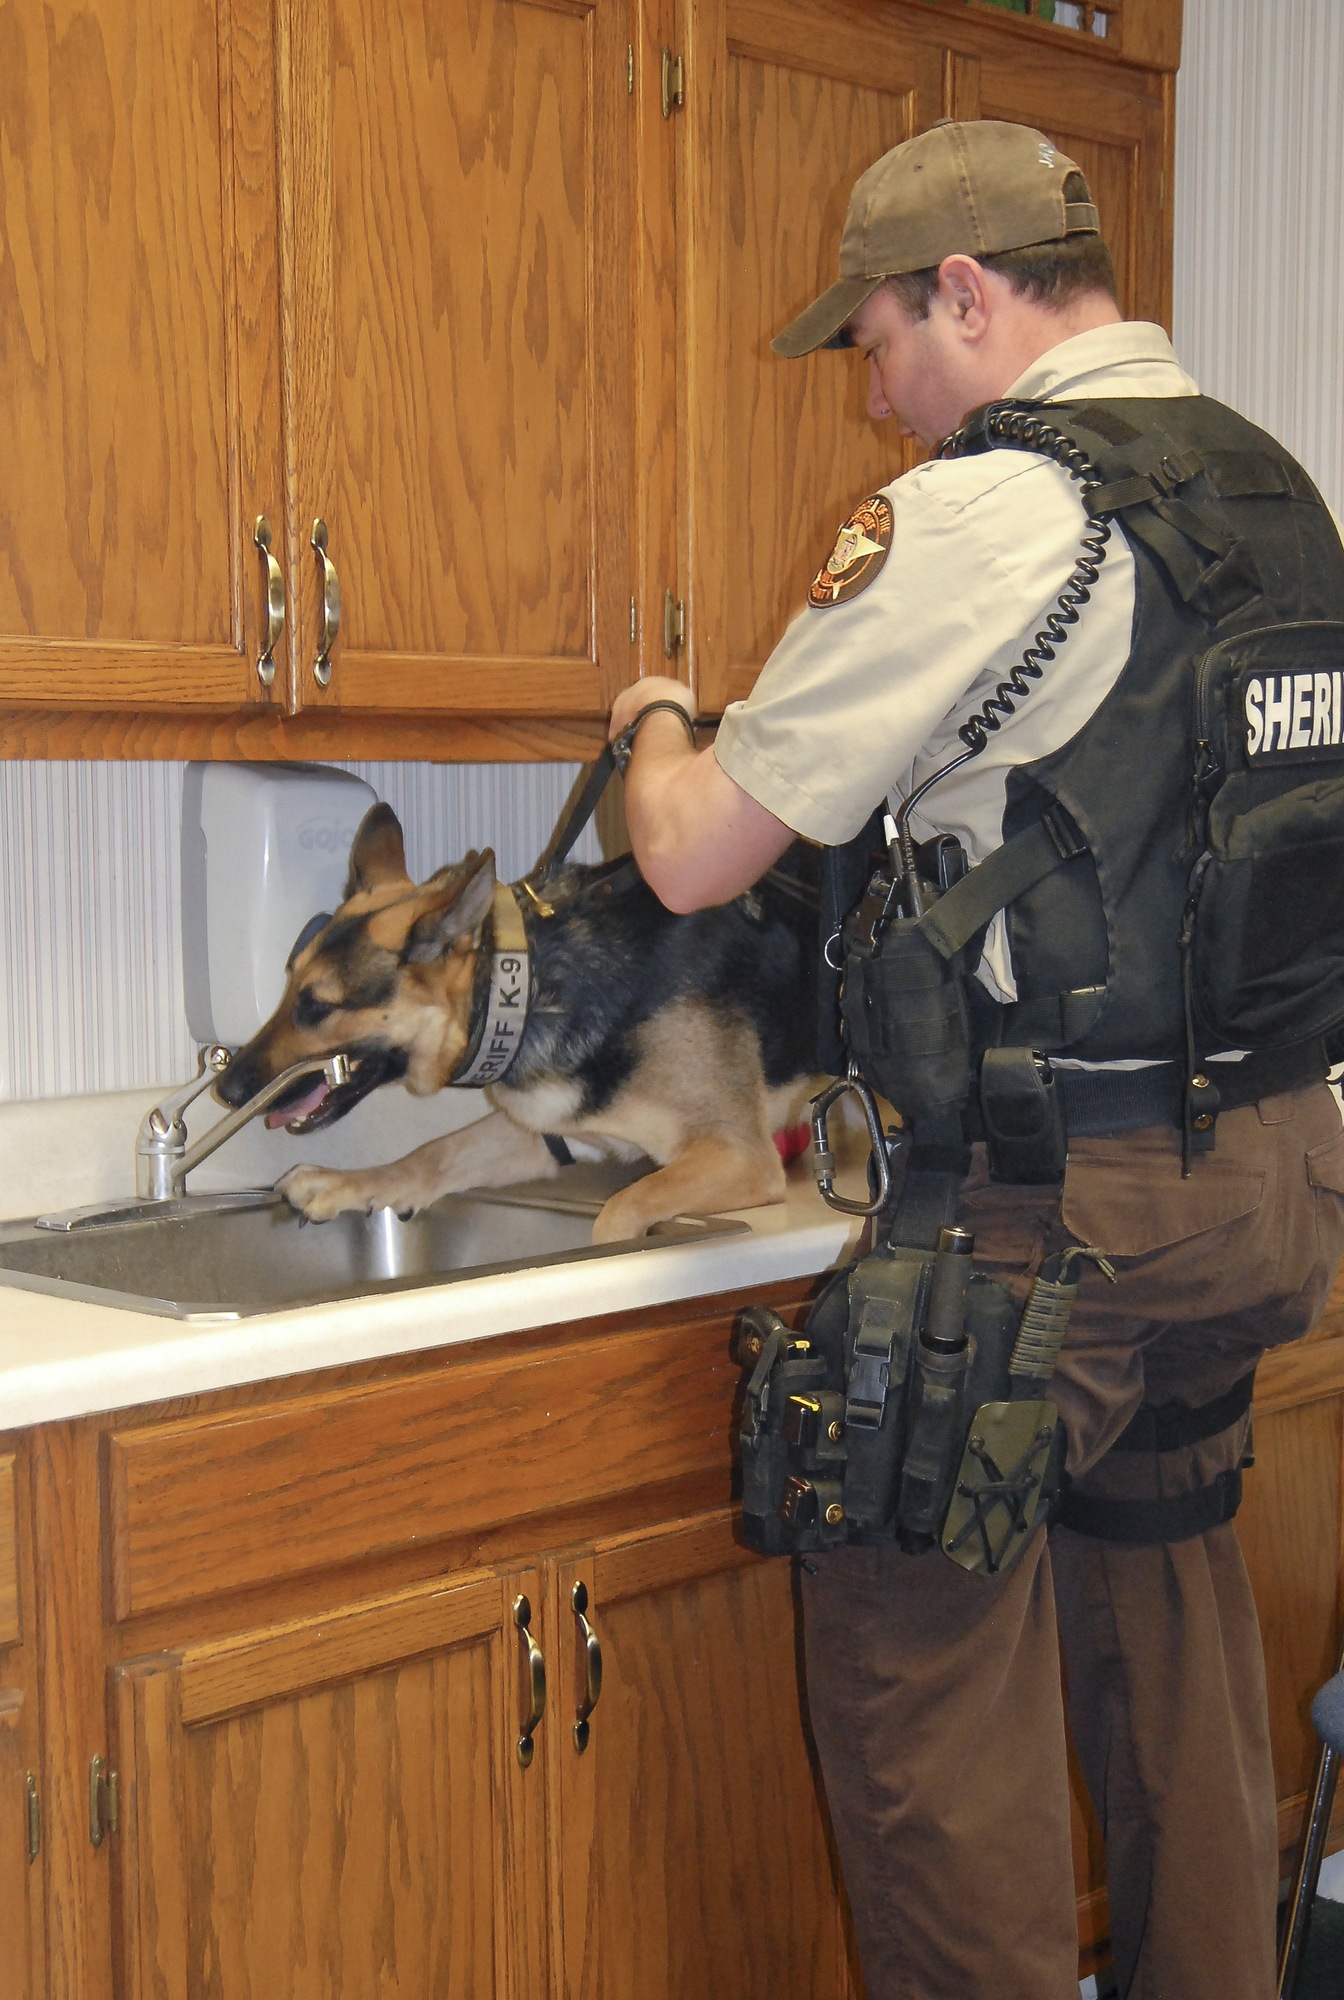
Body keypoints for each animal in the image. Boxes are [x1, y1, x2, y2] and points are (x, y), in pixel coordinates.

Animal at [217, 804, 824, 1240]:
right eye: (288, 984)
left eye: (317, 1006)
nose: (226, 1089)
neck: (530, 990)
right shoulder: (551, 1130)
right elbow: (432, 1154)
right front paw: (347, 1183)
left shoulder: (740, 1157)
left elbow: (620, 1211)